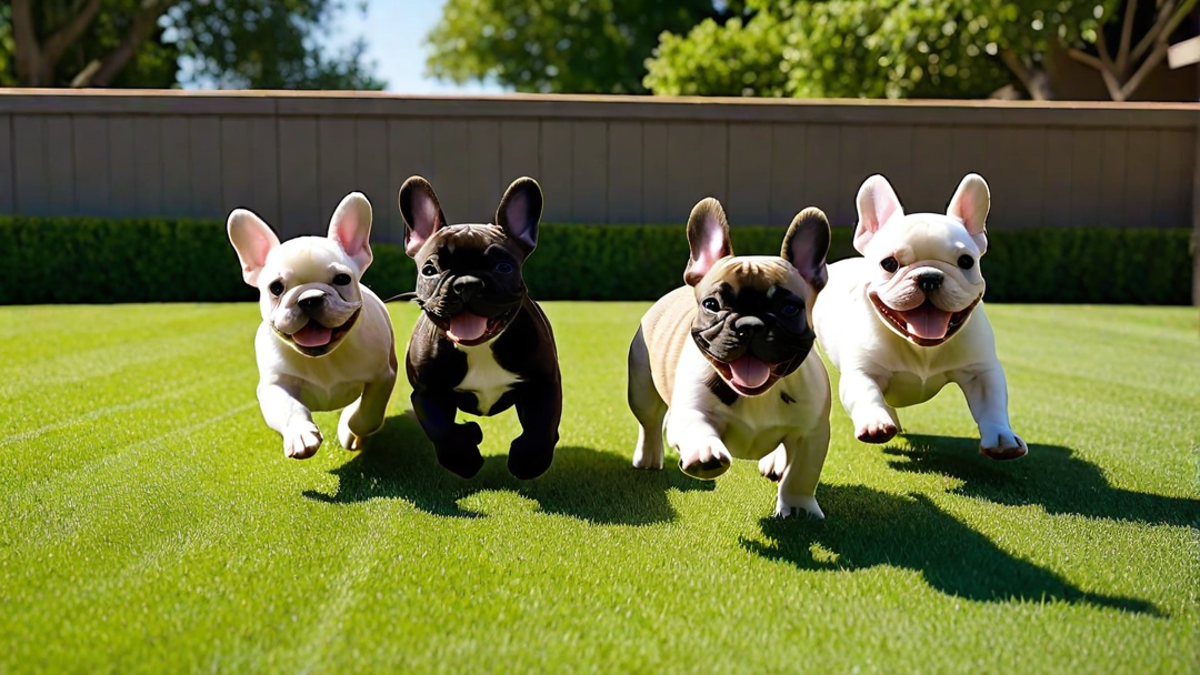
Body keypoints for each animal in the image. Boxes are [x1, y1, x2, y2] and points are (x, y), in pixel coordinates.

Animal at [229, 192, 403, 458]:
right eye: (276, 288)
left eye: (342, 279)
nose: (309, 298)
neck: (323, 359)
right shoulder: (274, 386)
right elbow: (290, 408)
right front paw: (300, 435)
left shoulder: (382, 376)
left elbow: (368, 414)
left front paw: (350, 424)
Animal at [396, 172, 559, 478]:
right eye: (430, 270)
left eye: (504, 267)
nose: (466, 283)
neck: (479, 348)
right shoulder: (426, 393)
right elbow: (442, 430)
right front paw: (464, 459)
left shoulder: (543, 384)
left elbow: (541, 428)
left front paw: (528, 462)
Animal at [628, 196, 835, 516]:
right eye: (712, 305)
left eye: (789, 308)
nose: (750, 325)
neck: (758, 395)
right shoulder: (690, 411)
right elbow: (696, 427)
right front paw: (704, 453)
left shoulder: (812, 434)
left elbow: (801, 475)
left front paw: (798, 507)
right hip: (642, 389)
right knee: (649, 423)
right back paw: (649, 457)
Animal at [816, 171, 1032, 461]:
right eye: (889, 263)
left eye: (966, 261)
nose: (929, 276)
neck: (922, 349)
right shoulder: (863, 371)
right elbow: (866, 393)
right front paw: (875, 422)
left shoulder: (981, 371)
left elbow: (992, 405)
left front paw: (1001, 437)